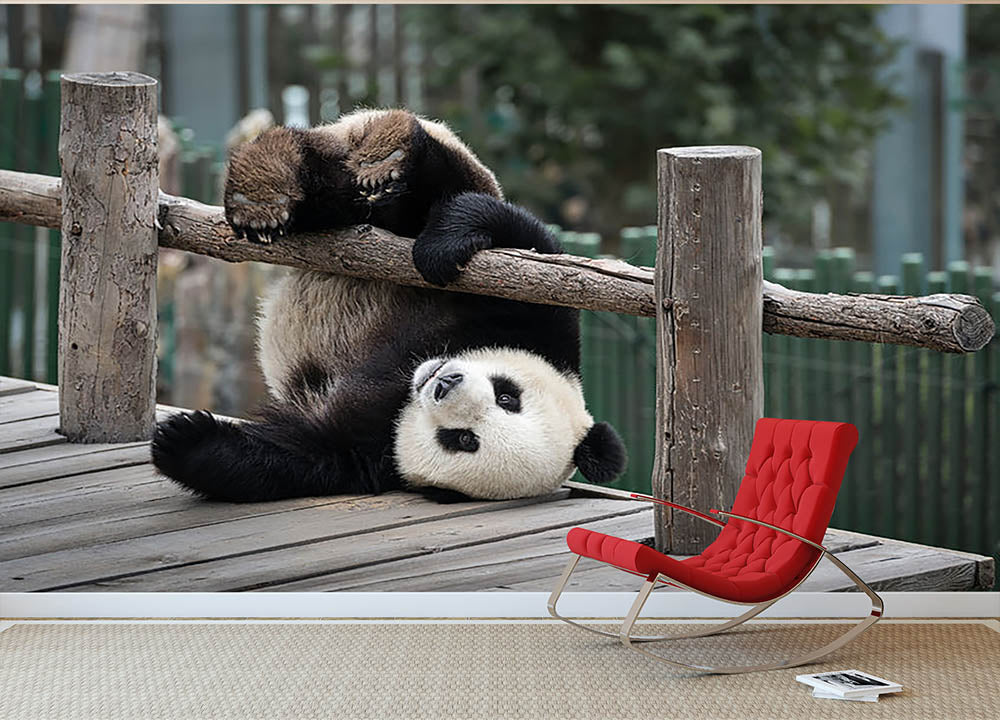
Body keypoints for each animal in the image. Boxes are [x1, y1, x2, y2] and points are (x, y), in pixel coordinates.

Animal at [151, 108, 626, 503]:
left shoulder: (372, 454)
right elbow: (523, 242)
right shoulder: (541, 323)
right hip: (416, 177)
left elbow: (296, 457)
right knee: (410, 187)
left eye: (464, 440)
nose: (444, 382)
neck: (406, 383)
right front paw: (441, 249)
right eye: (508, 395)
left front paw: (183, 440)